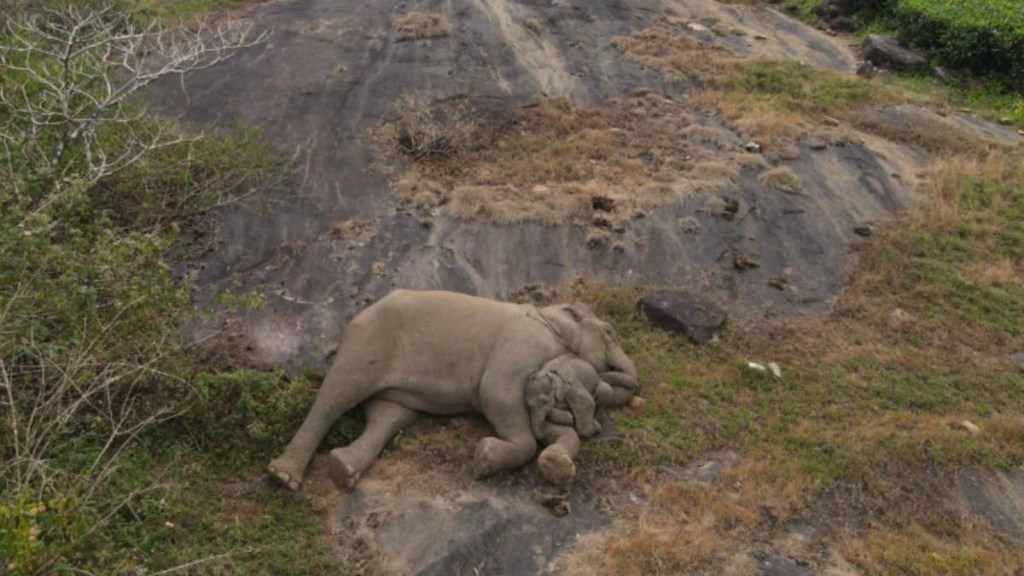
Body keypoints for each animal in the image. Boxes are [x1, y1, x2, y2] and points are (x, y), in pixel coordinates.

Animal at [266, 290, 638, 491]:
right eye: (609, 332)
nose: (596, 427)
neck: (550, 314)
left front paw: (556, 463)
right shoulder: (521, 344)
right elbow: (497, 393)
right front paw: (485, 459)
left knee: (389, 415)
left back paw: (343, 469)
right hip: (367, 343)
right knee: (336, 395)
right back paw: (284, 477)